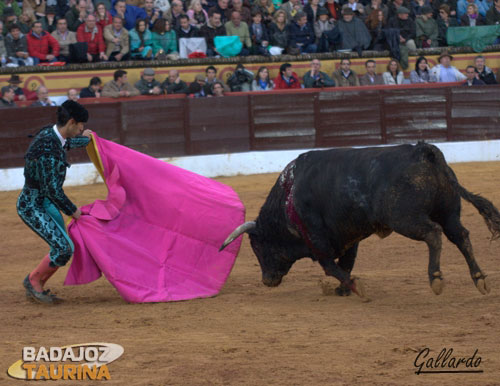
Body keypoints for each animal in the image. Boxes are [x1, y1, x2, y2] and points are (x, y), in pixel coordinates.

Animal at [221, 143, 500, 298]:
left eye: (257, 247)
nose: (266, 281)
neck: (288, 197)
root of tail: (424, 150)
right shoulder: (348, 239)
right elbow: (346, 263)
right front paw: (343, 290)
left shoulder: (317, 243)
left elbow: (332, 268)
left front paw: (356, 289)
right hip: (448, 211)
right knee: (460, 236)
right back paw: (480, 279)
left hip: (405, 218)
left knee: (433, 234)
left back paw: (436, 279)